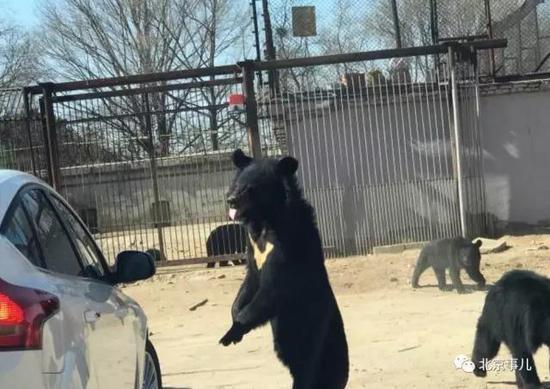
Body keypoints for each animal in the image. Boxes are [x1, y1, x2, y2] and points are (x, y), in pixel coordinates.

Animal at [219, 149, 350, 388]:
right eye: (236, 184)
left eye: (250, 188)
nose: (231, 200)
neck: (264, 221)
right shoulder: (252, 246)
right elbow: (250, 279)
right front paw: (234, 316)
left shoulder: (287, 243)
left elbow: (273, 288)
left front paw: (231, 333)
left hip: (311, 332)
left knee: (310, 370)